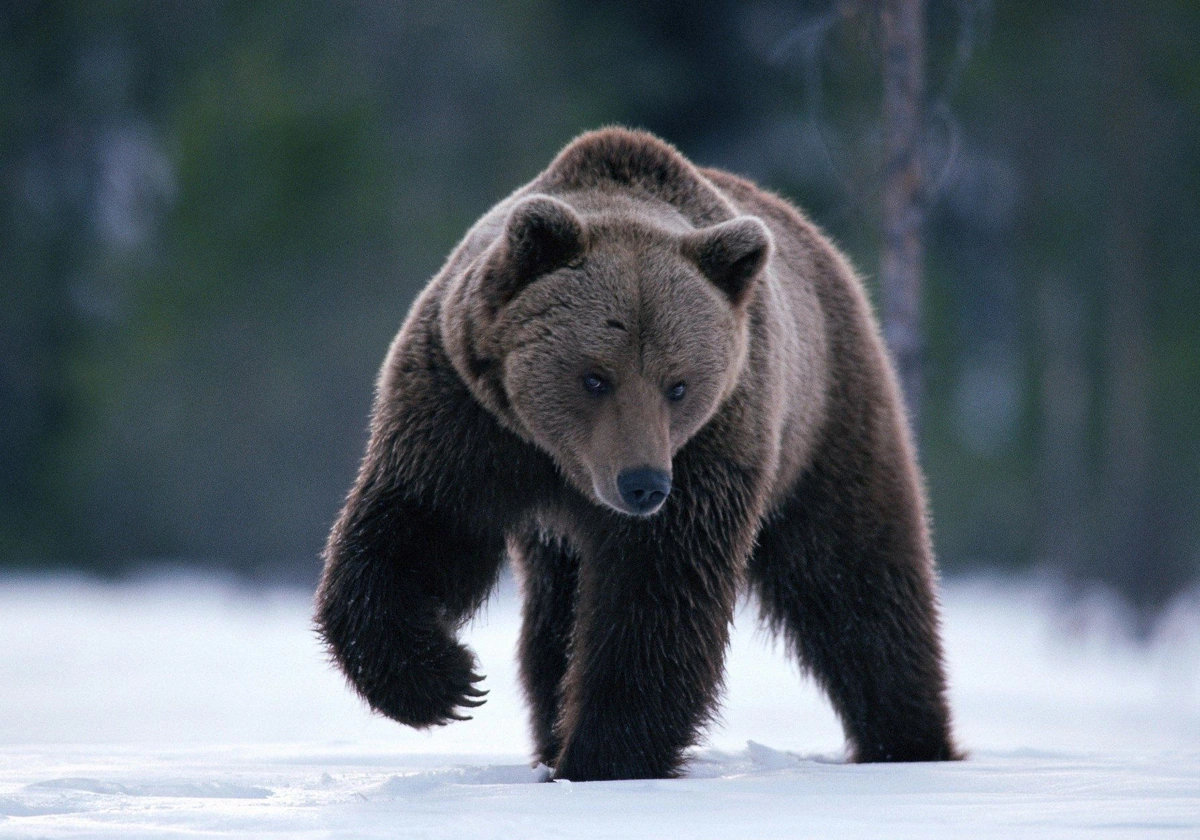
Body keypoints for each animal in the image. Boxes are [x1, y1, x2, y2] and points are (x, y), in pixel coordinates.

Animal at [314, 126, 960, 782]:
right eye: (594, 377)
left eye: (679, 385)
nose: (643, 483)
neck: (561, 464)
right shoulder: (466, 419)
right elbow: (419, 531)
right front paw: (446, 682)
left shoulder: (710, 449)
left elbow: (656, 598)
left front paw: (603, 757)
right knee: (553, 622)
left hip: (825, 419)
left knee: (855, 579)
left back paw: (908, 740)